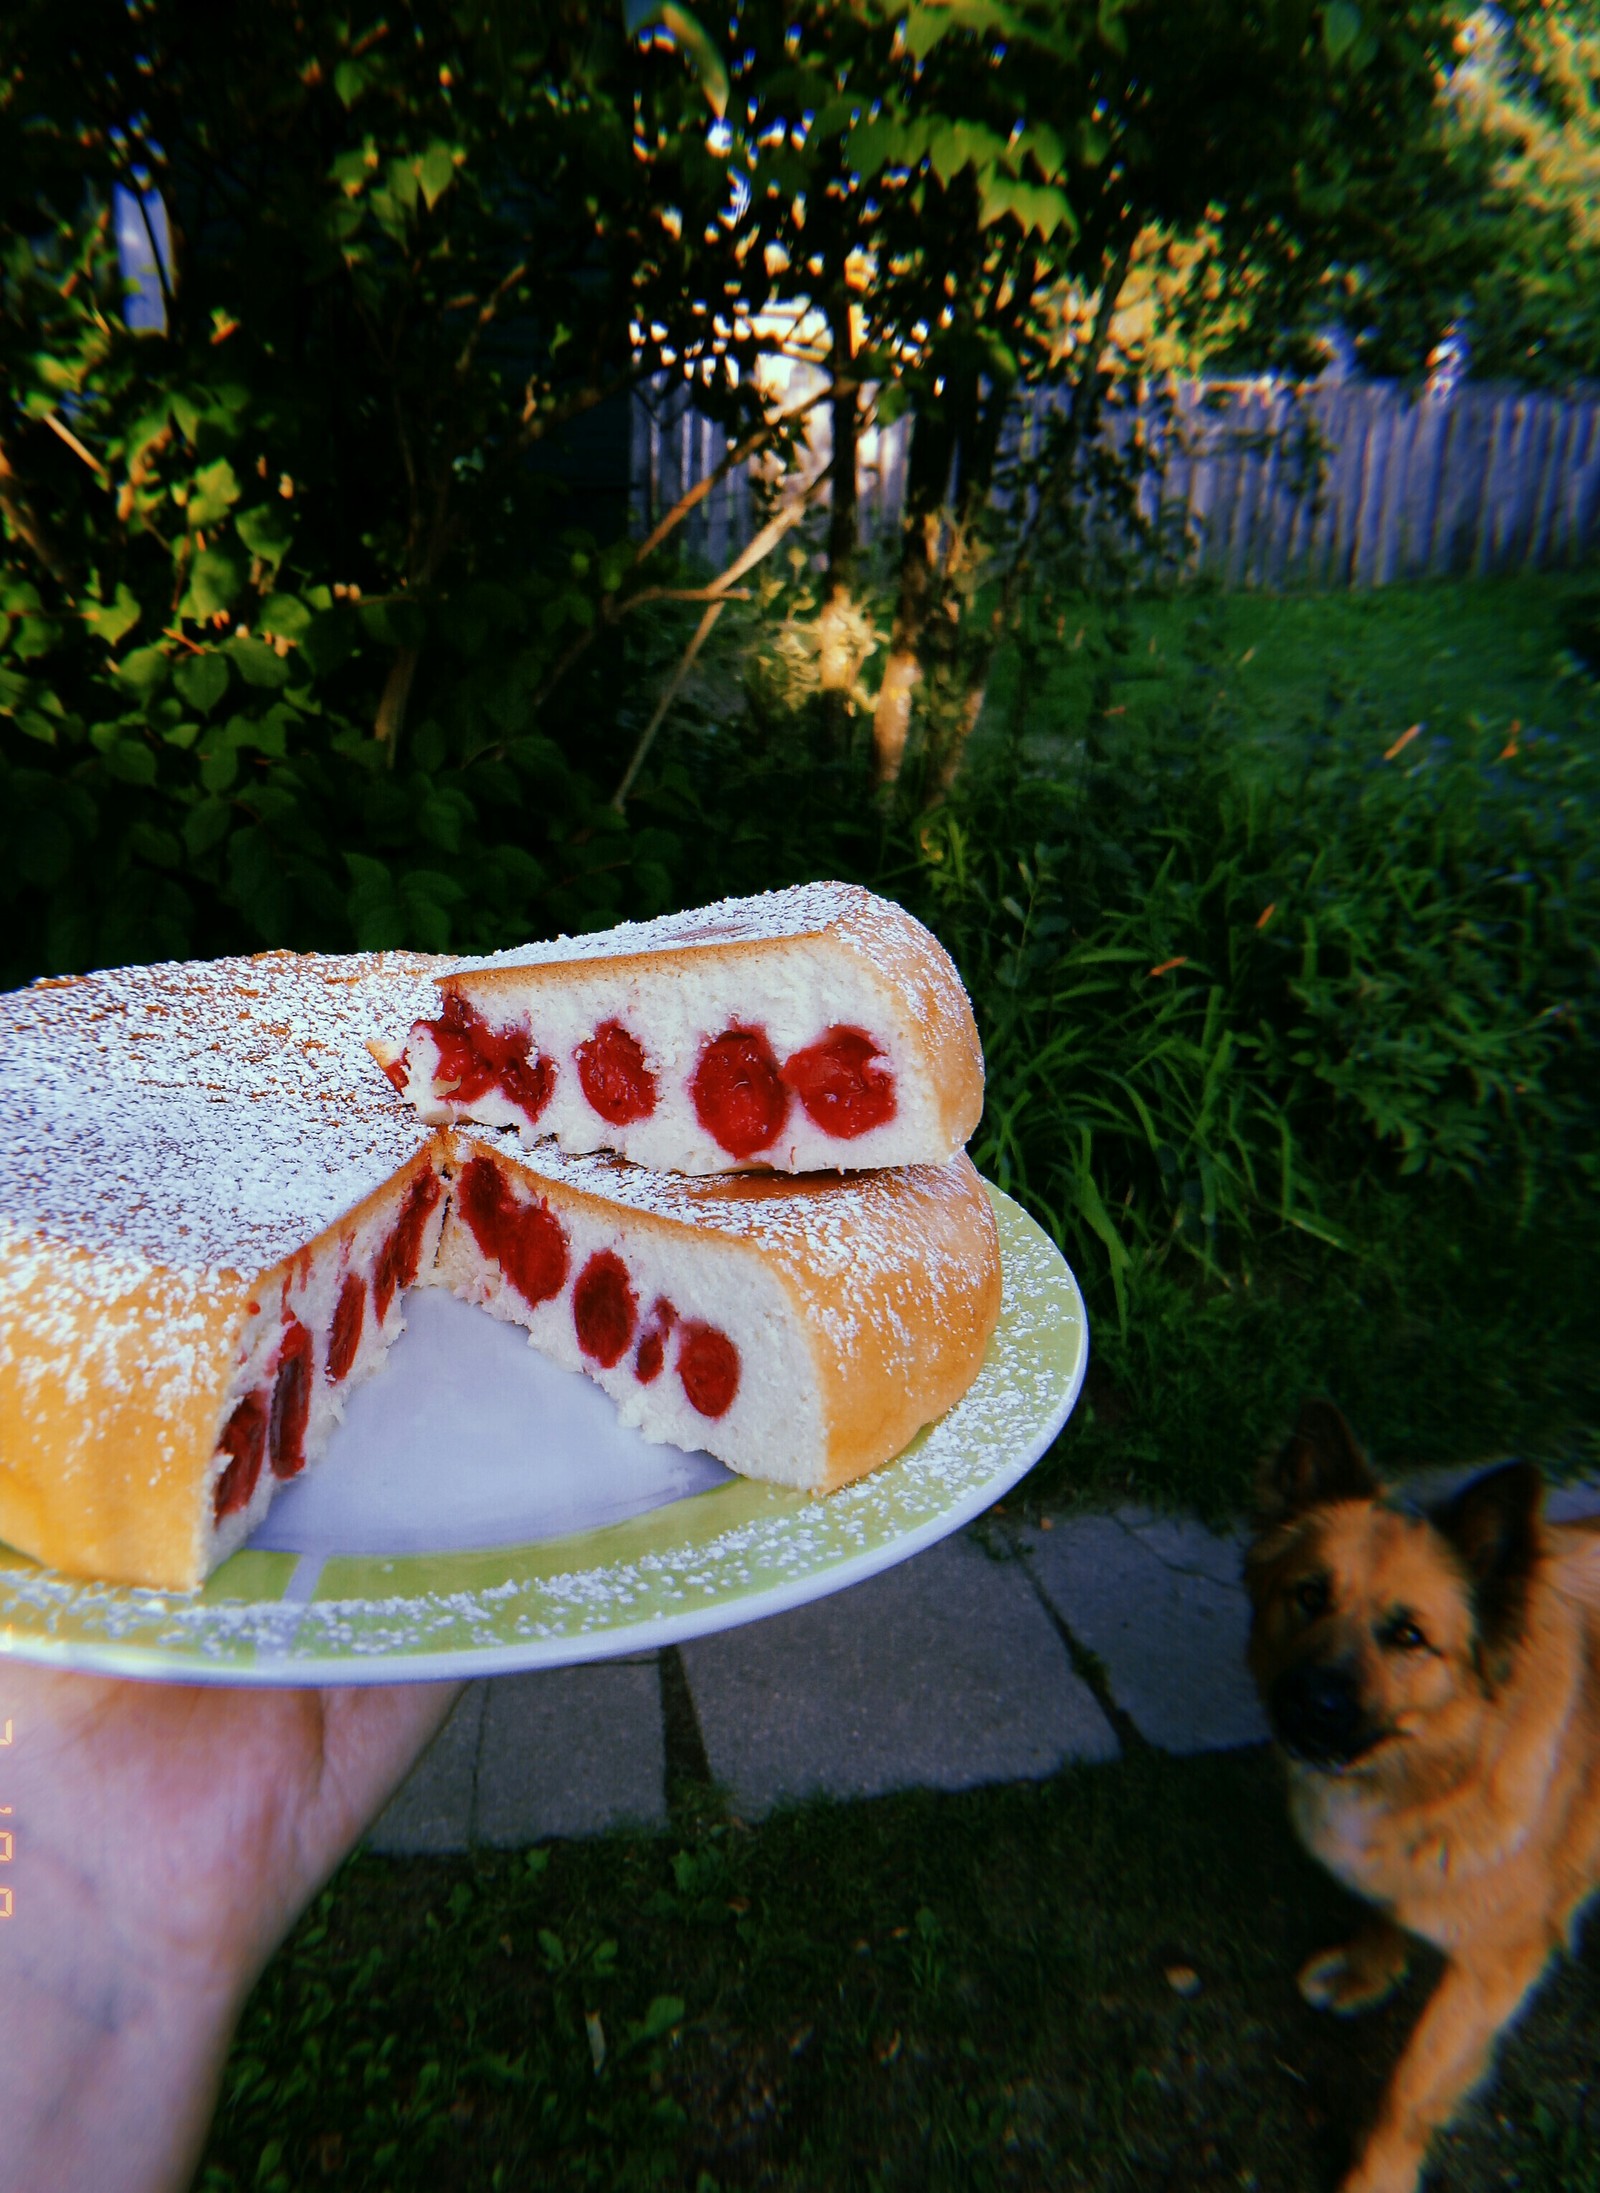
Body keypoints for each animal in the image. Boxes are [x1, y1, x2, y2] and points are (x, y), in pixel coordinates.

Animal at [1244, 1403, 1595, 2193]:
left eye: (1409, 1636)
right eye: (1309, 1594)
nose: (1308, 1707)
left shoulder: (1496, 1966)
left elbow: (1408, 2091)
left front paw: (1376, 2178)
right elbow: (1385, 1909)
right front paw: (1367, 1970)